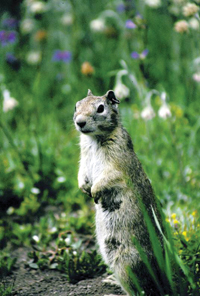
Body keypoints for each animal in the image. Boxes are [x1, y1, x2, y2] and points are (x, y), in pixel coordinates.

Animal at [73, 90, 167, 296]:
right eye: (77, 105)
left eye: (101, 108)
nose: (80, 122)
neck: (94, 139)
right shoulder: (83, 161)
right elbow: (81, 174)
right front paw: (84, 189)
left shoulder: (116, 167)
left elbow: (108, 178)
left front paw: (94, 192)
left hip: (124, 262)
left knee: (139, 290)